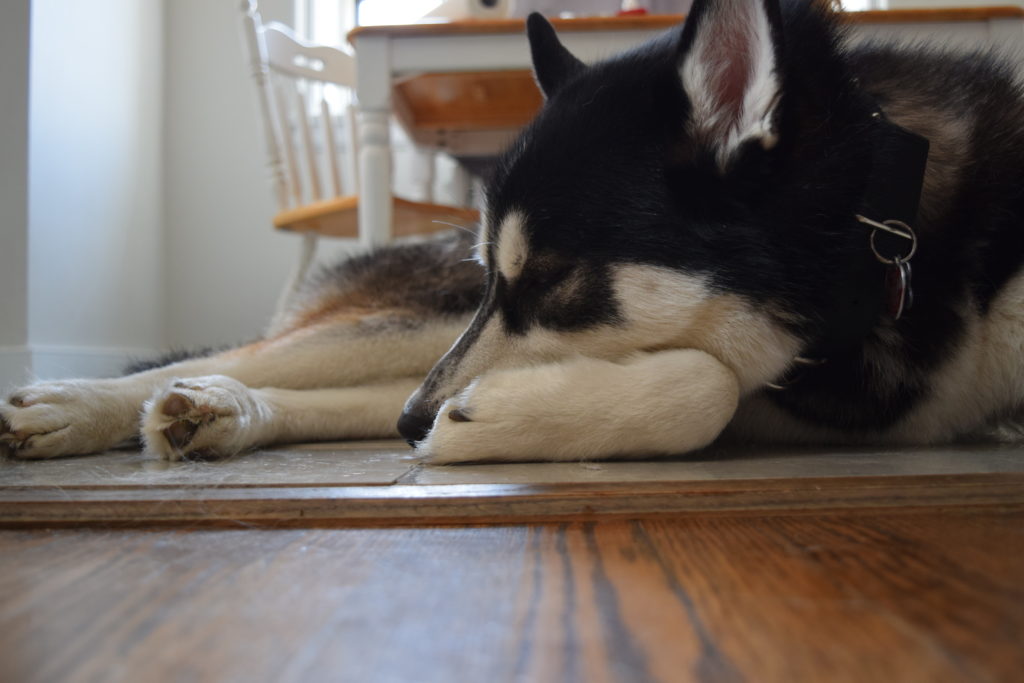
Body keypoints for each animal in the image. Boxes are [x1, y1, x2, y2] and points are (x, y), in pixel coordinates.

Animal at [2, 0, 1024, 464]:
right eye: (504, 273)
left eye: (556, 280)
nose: (419, 421)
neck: (896, 250)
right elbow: (707, 385)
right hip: (420, 317)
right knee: (242, 354)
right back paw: (76, 404)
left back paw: (225, 412)